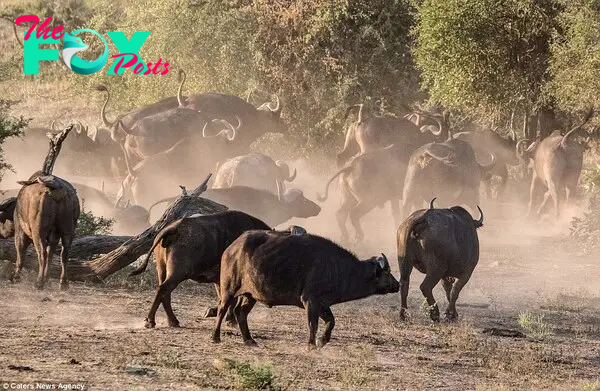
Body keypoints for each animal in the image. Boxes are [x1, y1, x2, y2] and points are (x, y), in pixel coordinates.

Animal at [213, 231, 400, 348]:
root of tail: (232, 247)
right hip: (229, 289)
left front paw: (323, 341)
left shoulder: (323, 304)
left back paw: (249, 340)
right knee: (222, 309)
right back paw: (215, 337)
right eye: (387, 272)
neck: (339, 268)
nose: (397, 285)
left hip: (250, 295)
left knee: (240, 313)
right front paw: (311, 344)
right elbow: (313, 324)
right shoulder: (311, 301)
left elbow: (331, 322)